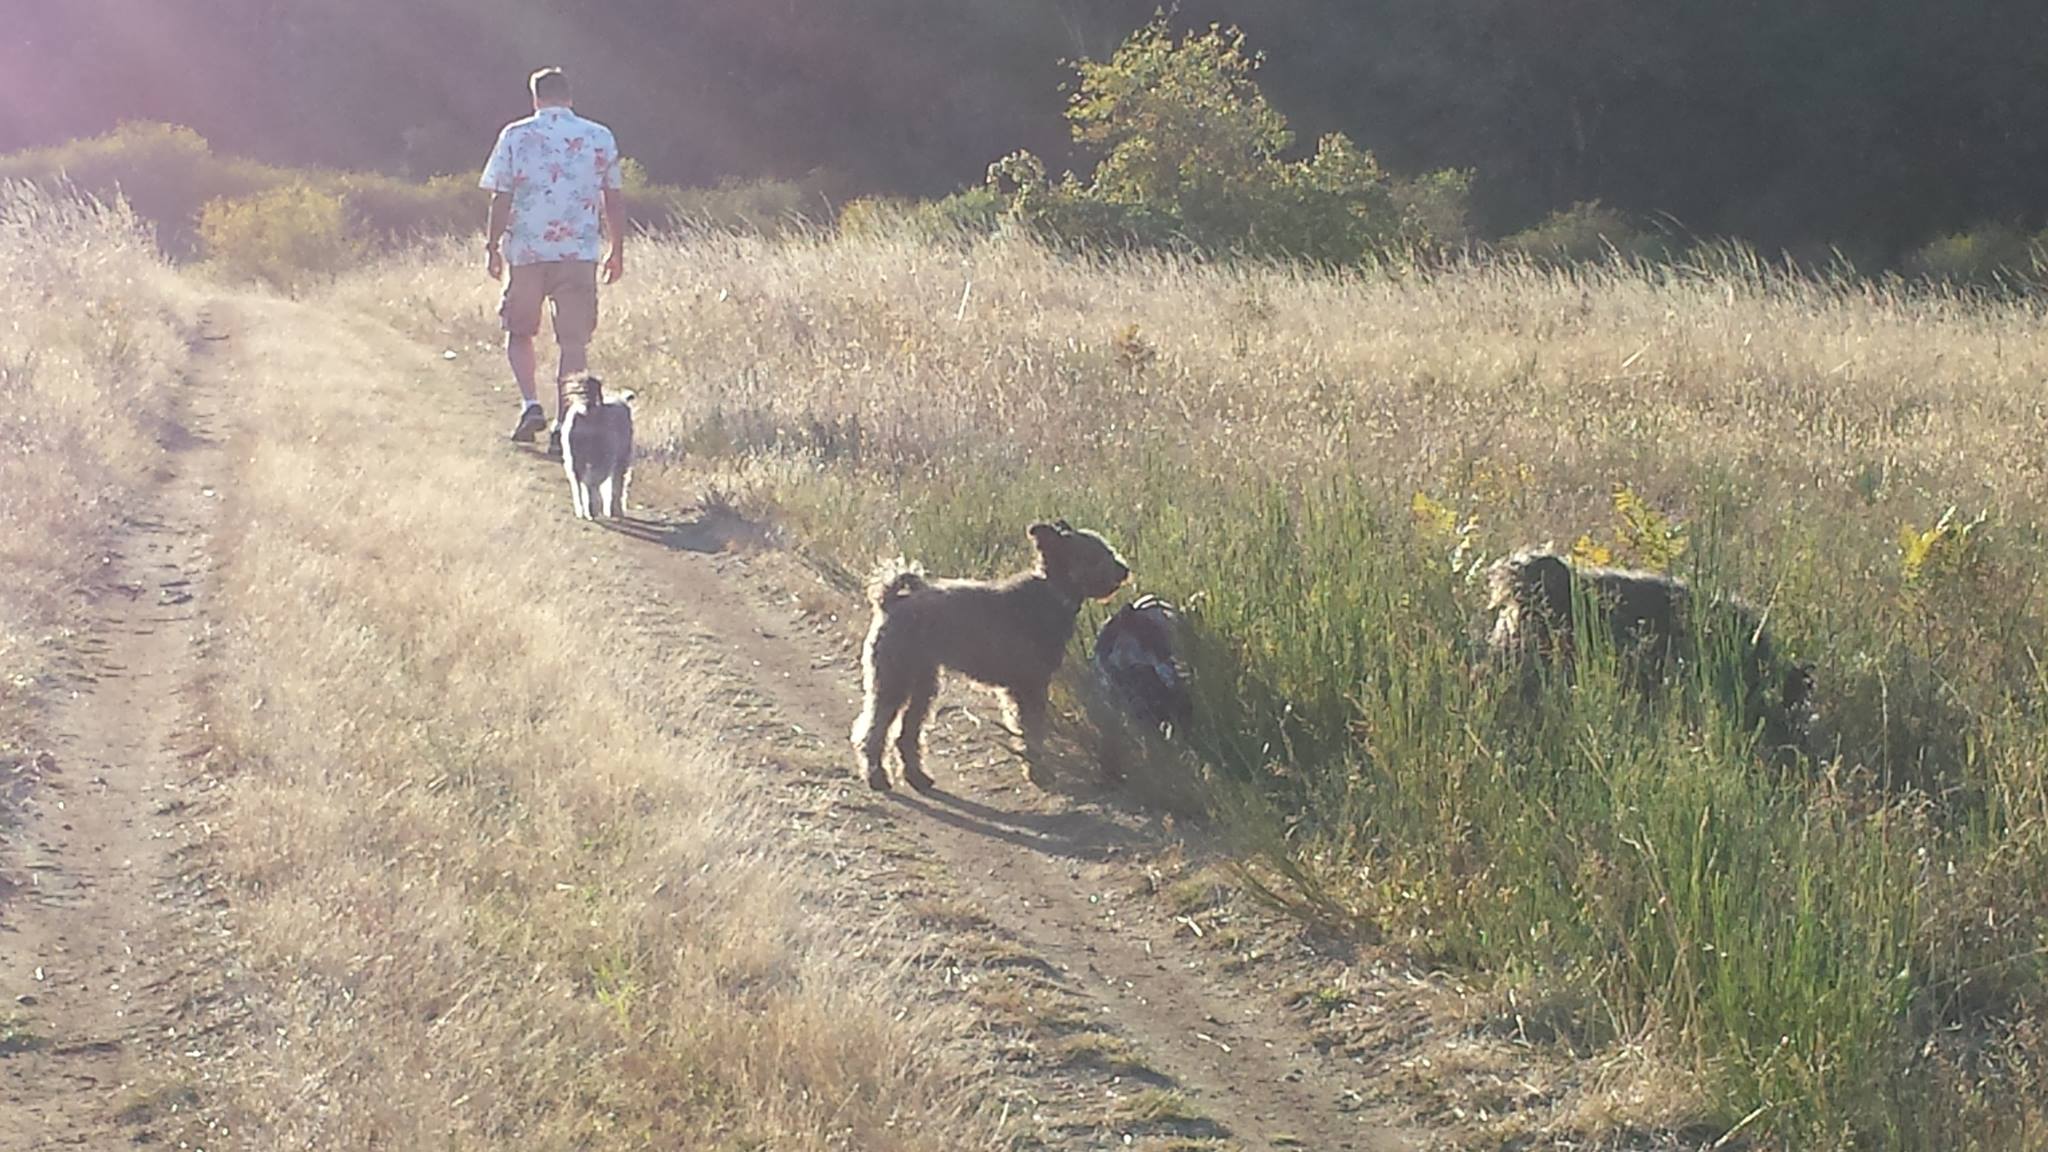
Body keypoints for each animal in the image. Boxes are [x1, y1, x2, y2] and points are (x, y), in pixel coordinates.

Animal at [558, 375, 634, 521]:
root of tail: (587, 411)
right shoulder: (619, 460)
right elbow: (616, 486)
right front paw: (615, 510)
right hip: (603, 458)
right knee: (593, 483)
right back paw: (592, 509)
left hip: (573, 460)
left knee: (578, 485)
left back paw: (581, 511)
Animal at [852, 521, 1131, 792]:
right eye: (1093, 557)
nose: (1124, 570)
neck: (1050, 593)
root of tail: (891, 602)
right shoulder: (1030, 687)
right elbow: (1033, 734)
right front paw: (1038, 773)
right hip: (894, 681)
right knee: (872, 733)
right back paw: (877, 777)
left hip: (923, 683)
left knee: (905, 734)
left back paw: (917, 776)